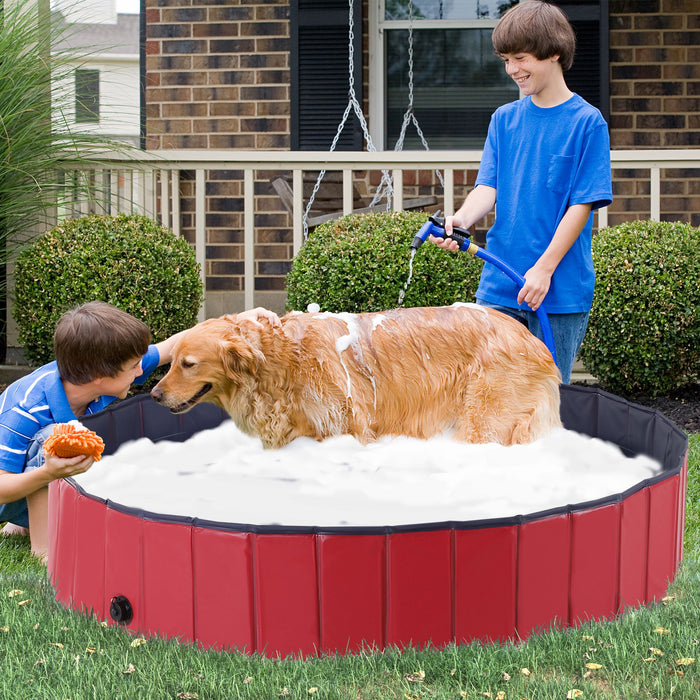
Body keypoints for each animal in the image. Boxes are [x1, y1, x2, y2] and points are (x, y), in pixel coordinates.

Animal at [152, 304, 564, 448]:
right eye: (171, 362)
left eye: (188, 364)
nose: (154, 395)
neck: (282, 360)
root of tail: (533, 340)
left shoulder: (346, 428)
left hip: (485, 420)